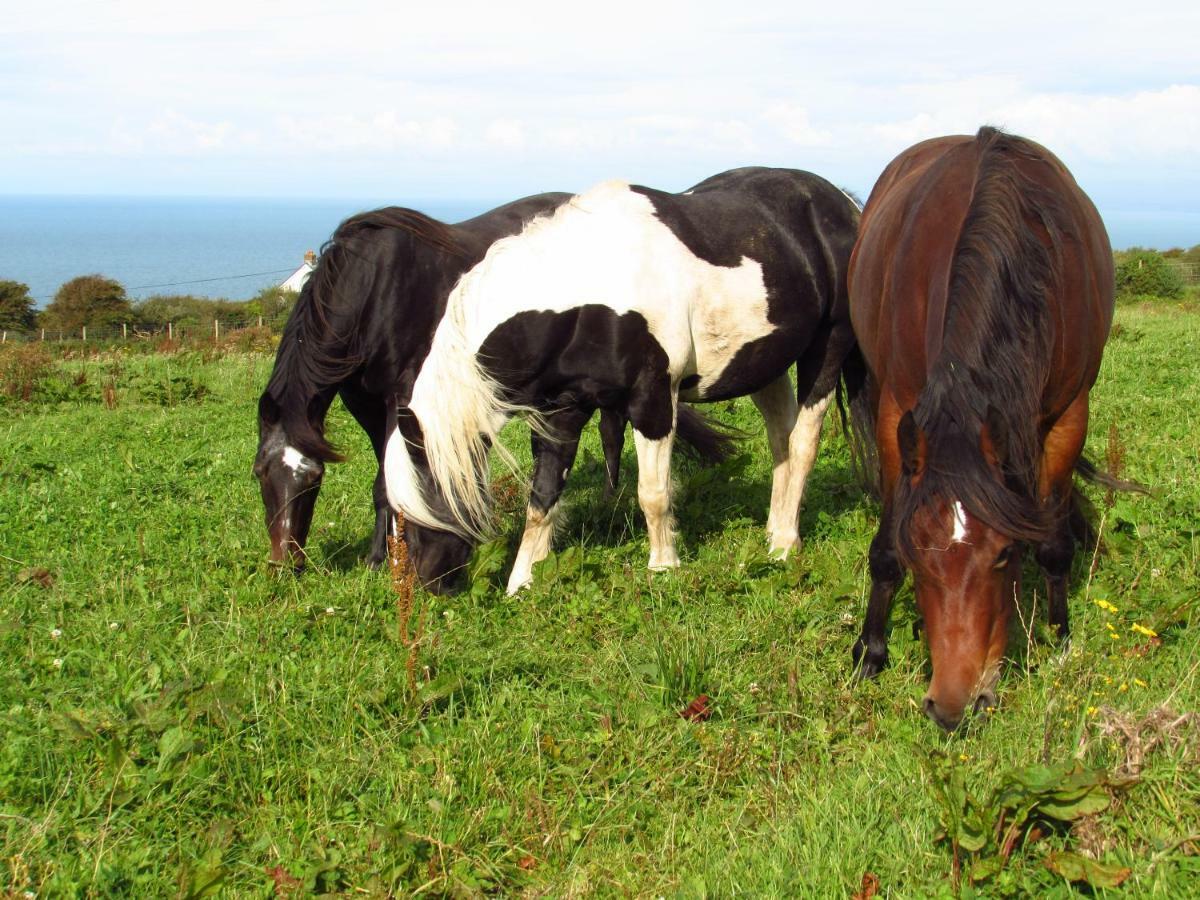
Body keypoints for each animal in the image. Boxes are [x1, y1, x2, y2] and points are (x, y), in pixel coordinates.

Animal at [254, 196, 729, 580]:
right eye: (260, 473)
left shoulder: (402, 400)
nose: (285, 565)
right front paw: (377, 559)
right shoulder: (366, 404)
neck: (376, 290)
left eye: (312, 480)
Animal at [386, 168, 864, 600]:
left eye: (428, 498)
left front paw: (663, 567)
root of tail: (843, 203)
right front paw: (522, 582)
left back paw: (784, 544)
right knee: (781, 439)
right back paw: (774, 528)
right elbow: (542, 498)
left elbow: (653, 493)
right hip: (765, 364)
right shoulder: (562, 413)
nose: (432, 585)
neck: (589, 284)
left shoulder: (652, 400)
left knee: (802, 443)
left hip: (827, 349)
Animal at [849, 127, 1118, 734]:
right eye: (919, 554)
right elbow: (885, 544)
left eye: (1002, 555)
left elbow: (1054, 545)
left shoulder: (1069, 414)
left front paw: (1059, 640)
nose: (953, 705)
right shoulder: (898, 411)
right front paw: (871, 651)